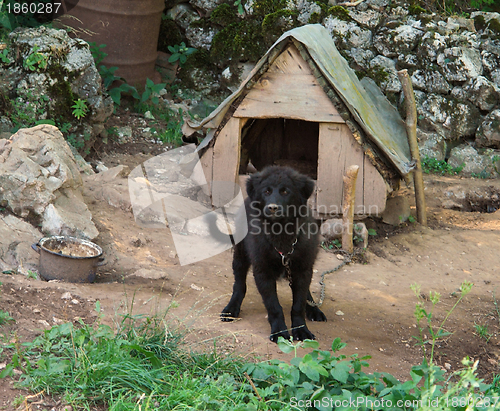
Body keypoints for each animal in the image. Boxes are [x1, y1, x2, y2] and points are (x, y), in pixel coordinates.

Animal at [221, 166, 326, 342]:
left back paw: (313, 308)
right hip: (241, 255)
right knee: (239, 284)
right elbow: (274, 306)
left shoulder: (303, 269)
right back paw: (231, 308)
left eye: (285, 191)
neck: (281, 233)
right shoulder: (263, 272)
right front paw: (279, 332)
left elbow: (298, 304)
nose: (272, 207)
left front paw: (301, 329)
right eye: (267, 191)